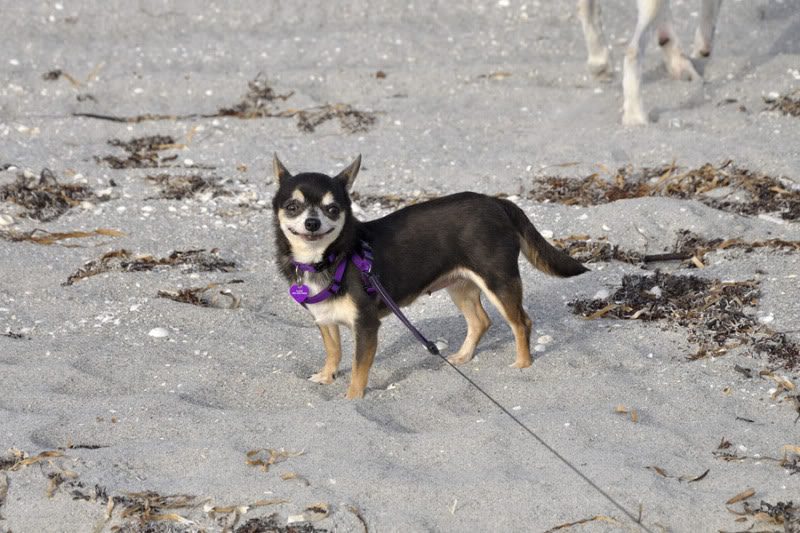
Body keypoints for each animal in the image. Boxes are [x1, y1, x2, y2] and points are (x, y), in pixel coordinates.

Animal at [276, 155, 588, 400]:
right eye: (292, 207)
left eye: (332, 209)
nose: (312, 223)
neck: (327, 258)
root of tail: (496, 202)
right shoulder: (325, 319)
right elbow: (334, 352)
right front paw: (327, 376)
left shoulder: (366, 324)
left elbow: (358, 367)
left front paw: (353, 398)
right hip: (461, 286)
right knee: (481, 321)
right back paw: (464, 355)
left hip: (498, 281)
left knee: (521, 322)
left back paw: (522, 364)